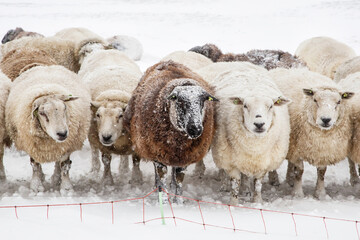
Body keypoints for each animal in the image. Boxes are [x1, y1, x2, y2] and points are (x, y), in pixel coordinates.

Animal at [79, 48, 144, 184]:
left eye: (120, 115)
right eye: (98, 115)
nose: (106, 137)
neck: (114, 91)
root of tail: (107, 50)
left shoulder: (137, 140)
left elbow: (136, 160)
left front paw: (136, 179)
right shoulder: (99, 141)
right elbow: (106, 160)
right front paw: (107, 180)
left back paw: (124, 170)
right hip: (92, 135)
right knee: (94, 153)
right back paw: (94, 170)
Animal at [124, 61, 218, 200]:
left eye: (203, 101)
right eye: (180, 101)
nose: (195, 129)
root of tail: (168, 61)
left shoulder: (184, 158)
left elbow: (178, 181)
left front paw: (178, 201)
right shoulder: (157, 154)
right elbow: (162, 179)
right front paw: (163, 200)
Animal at [210, 66, 292, 203]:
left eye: (271, 106)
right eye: (245, 105)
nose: (259, 124)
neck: (254, 147)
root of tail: (241, 64)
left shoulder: (262, 162)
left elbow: (258, 184)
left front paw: (257, 201)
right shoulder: (231, 162)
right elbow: (235, 184)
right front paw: (234, 203)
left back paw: (246, 190)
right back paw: (225, 186)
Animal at [268, 68, 352, 199]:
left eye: (339, 102)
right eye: (315, 100)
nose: (326, 119)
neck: (322, 135)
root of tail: (279, 68)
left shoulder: (323, 151)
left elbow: (322, 172)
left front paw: (320, 193)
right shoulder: (297, 149)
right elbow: (299, 171)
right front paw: (298, 193)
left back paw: (289, 180)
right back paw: (274, 180)